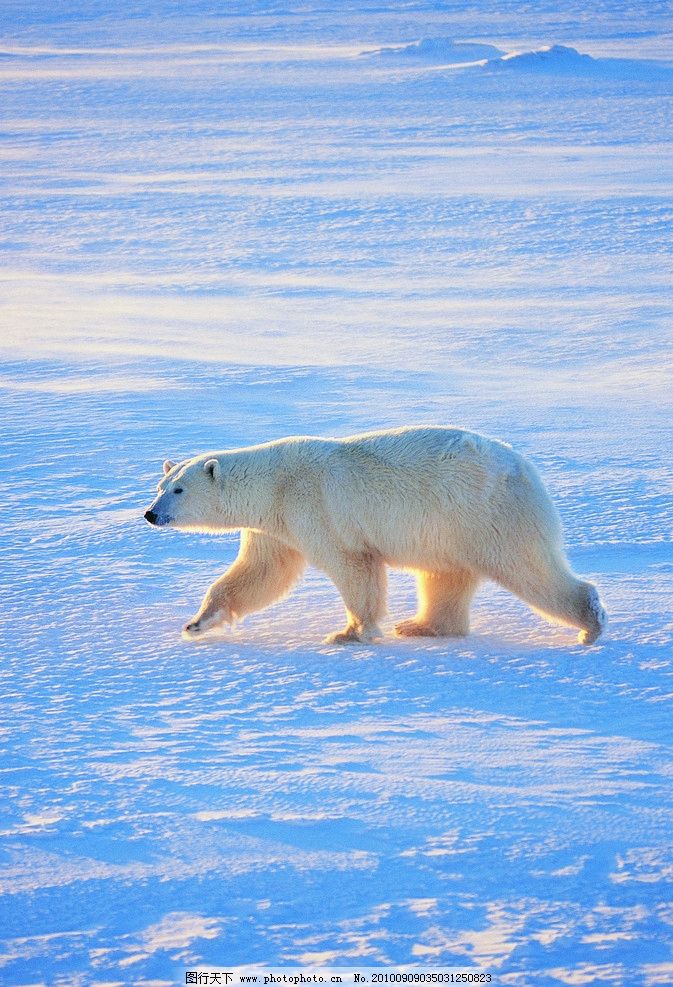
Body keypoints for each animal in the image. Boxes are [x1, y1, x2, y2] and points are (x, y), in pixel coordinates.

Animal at [144, 426, 608, 648]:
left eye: (178, 490)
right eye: (160, 485)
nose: (150, 514)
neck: (273, 484)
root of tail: (525, 467)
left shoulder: (314, 507)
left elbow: (353, 566)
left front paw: (350, 634)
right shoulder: (273, 527)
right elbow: (259, 573)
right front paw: (197, 623)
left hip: (484, 514)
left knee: (527, 566)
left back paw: (590, 623)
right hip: (448, 530)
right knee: (445, 576)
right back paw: (421, 626)